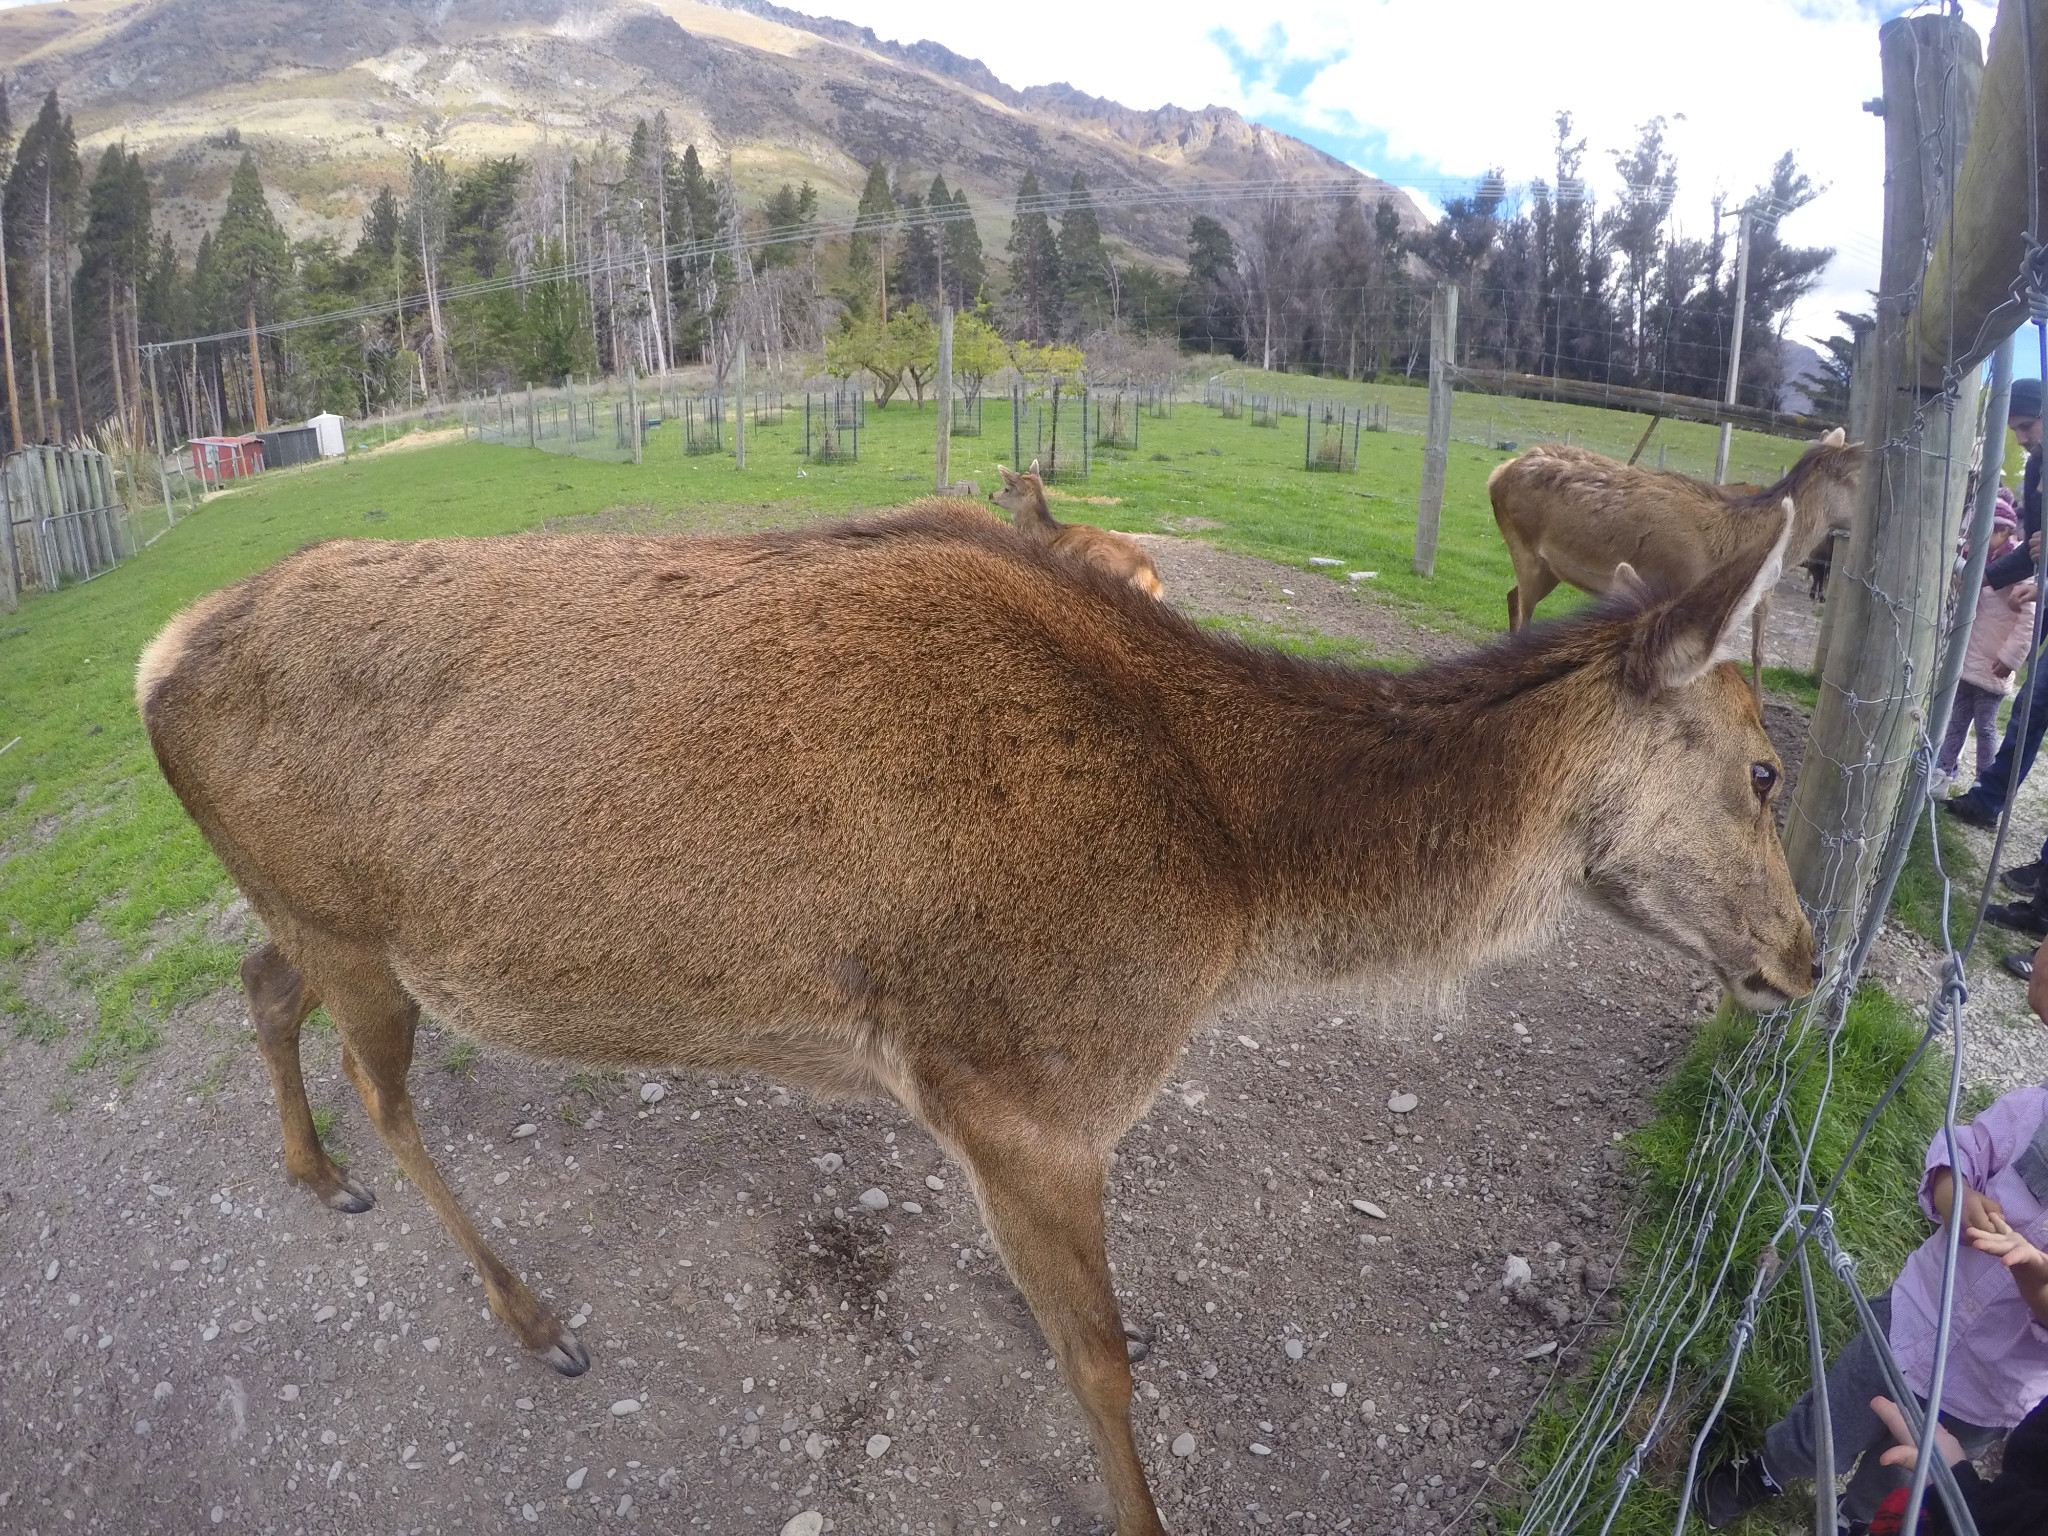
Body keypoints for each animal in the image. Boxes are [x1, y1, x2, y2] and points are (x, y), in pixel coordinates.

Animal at [140, 501, 1810, 1531]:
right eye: (1768, 768)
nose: (1801, 959)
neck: (1229, 883)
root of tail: (156, 657)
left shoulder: (987, 1105)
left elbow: (1062, 1315)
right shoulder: (1034, 1084)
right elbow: (1107, 1361)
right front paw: (1139, 1504)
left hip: (302, 915)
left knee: (258, 988)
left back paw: (310, 1172)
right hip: (354, 926)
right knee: (386, 1091)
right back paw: (530, 1315)